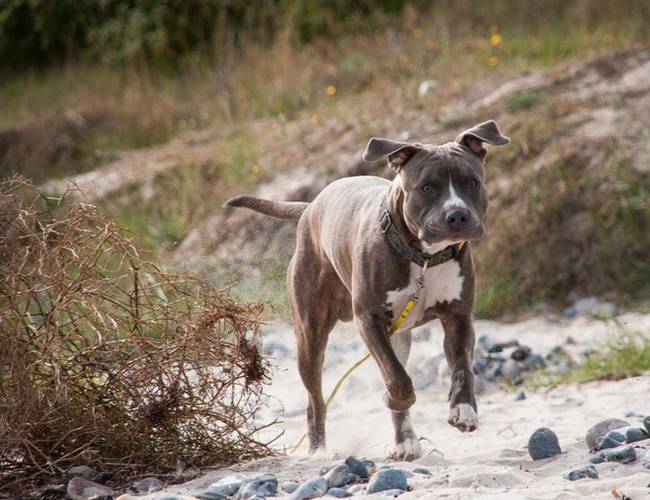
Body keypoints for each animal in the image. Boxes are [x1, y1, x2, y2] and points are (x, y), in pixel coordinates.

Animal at [225, 119, 508, 458]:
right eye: (426, 187)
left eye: (471, 182)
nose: (457, 215)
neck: (424, 257)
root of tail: (311, 206)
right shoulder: (370, 320)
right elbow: (397, 379)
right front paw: (395, 397)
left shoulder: (458, 317)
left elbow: (463, 369)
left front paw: (463, 410)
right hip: (310, 335)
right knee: (316, 400)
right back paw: (319, 451)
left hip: (398, 335)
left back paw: (405, 441)